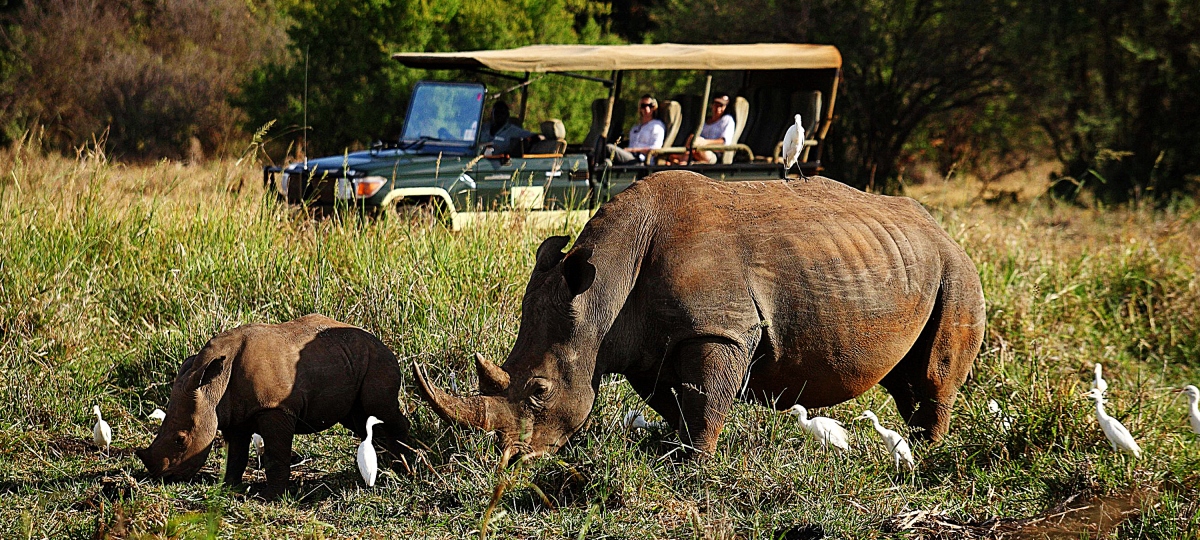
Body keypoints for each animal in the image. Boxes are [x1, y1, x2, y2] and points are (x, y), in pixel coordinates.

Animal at [138, 314, 410, 499]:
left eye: (181, 440)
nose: (161, 477)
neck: (212, 385)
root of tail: (381, 342)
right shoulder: (234, 413)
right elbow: (236, 454)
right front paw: (229, 487)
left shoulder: (274, 408)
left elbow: (275, 455)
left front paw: (271, 497)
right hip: (349, 359)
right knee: (361, 420)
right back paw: (389, 467)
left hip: (378, 360)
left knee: (380, 409)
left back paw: (405, 468)